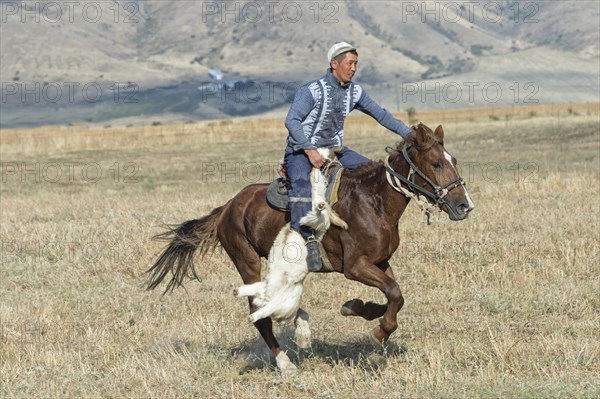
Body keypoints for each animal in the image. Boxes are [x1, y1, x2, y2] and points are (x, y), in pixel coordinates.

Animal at [145, 122, 474, 376]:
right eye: (436, 164)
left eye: (455, 160)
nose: (464, 205)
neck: (374, 200)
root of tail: (226, 207)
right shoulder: (355, 267)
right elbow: (394, 294)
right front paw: (381, 329)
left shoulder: (380, 263)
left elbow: (396, 296)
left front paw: (357, 308)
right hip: (246, 260)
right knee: (259, 313)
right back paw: (286, 363)